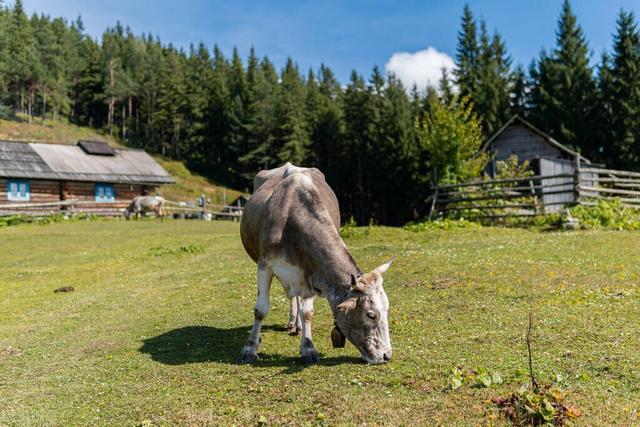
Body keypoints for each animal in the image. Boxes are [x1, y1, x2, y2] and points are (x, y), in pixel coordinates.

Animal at [239, 163, 392, 364]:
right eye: (371, 314)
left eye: (387, 308)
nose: (387, 355)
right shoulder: (265, 265)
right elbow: (261, 309)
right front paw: (249, 349)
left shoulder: (312, 273)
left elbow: (307, 312)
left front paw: (308, 348)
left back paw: (297, 326)